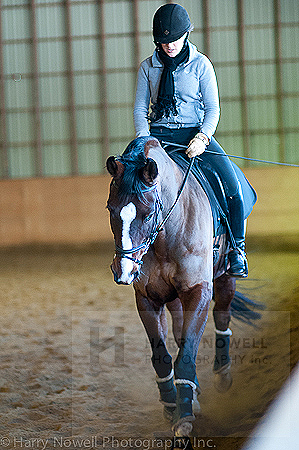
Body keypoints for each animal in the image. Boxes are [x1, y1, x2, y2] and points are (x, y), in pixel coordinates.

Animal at [106, 136, 258, 436]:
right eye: (110, 209)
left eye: (147, 213)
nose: (124, 271)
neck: (168, 231)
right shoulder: (147, 298)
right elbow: (162, 355)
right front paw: (170, 404)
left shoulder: (199, 291)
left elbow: (186, 354)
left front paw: (184, 417)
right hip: (174, 297)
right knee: (178, 332)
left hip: (225, 278)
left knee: (222, 315)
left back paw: (222, 374)